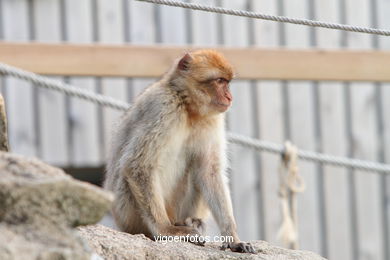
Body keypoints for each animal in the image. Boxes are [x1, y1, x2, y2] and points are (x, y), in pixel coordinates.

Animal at [103, 49, 256, 253]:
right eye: (219, 81)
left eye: (227, 82)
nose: (229, 97)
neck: (188, 106)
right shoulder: (162, 106)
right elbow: (137, 164)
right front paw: (166, 230)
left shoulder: (213, 120)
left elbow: (209, 171)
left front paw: (233, 238)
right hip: (127, 215)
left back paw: (190, 222)